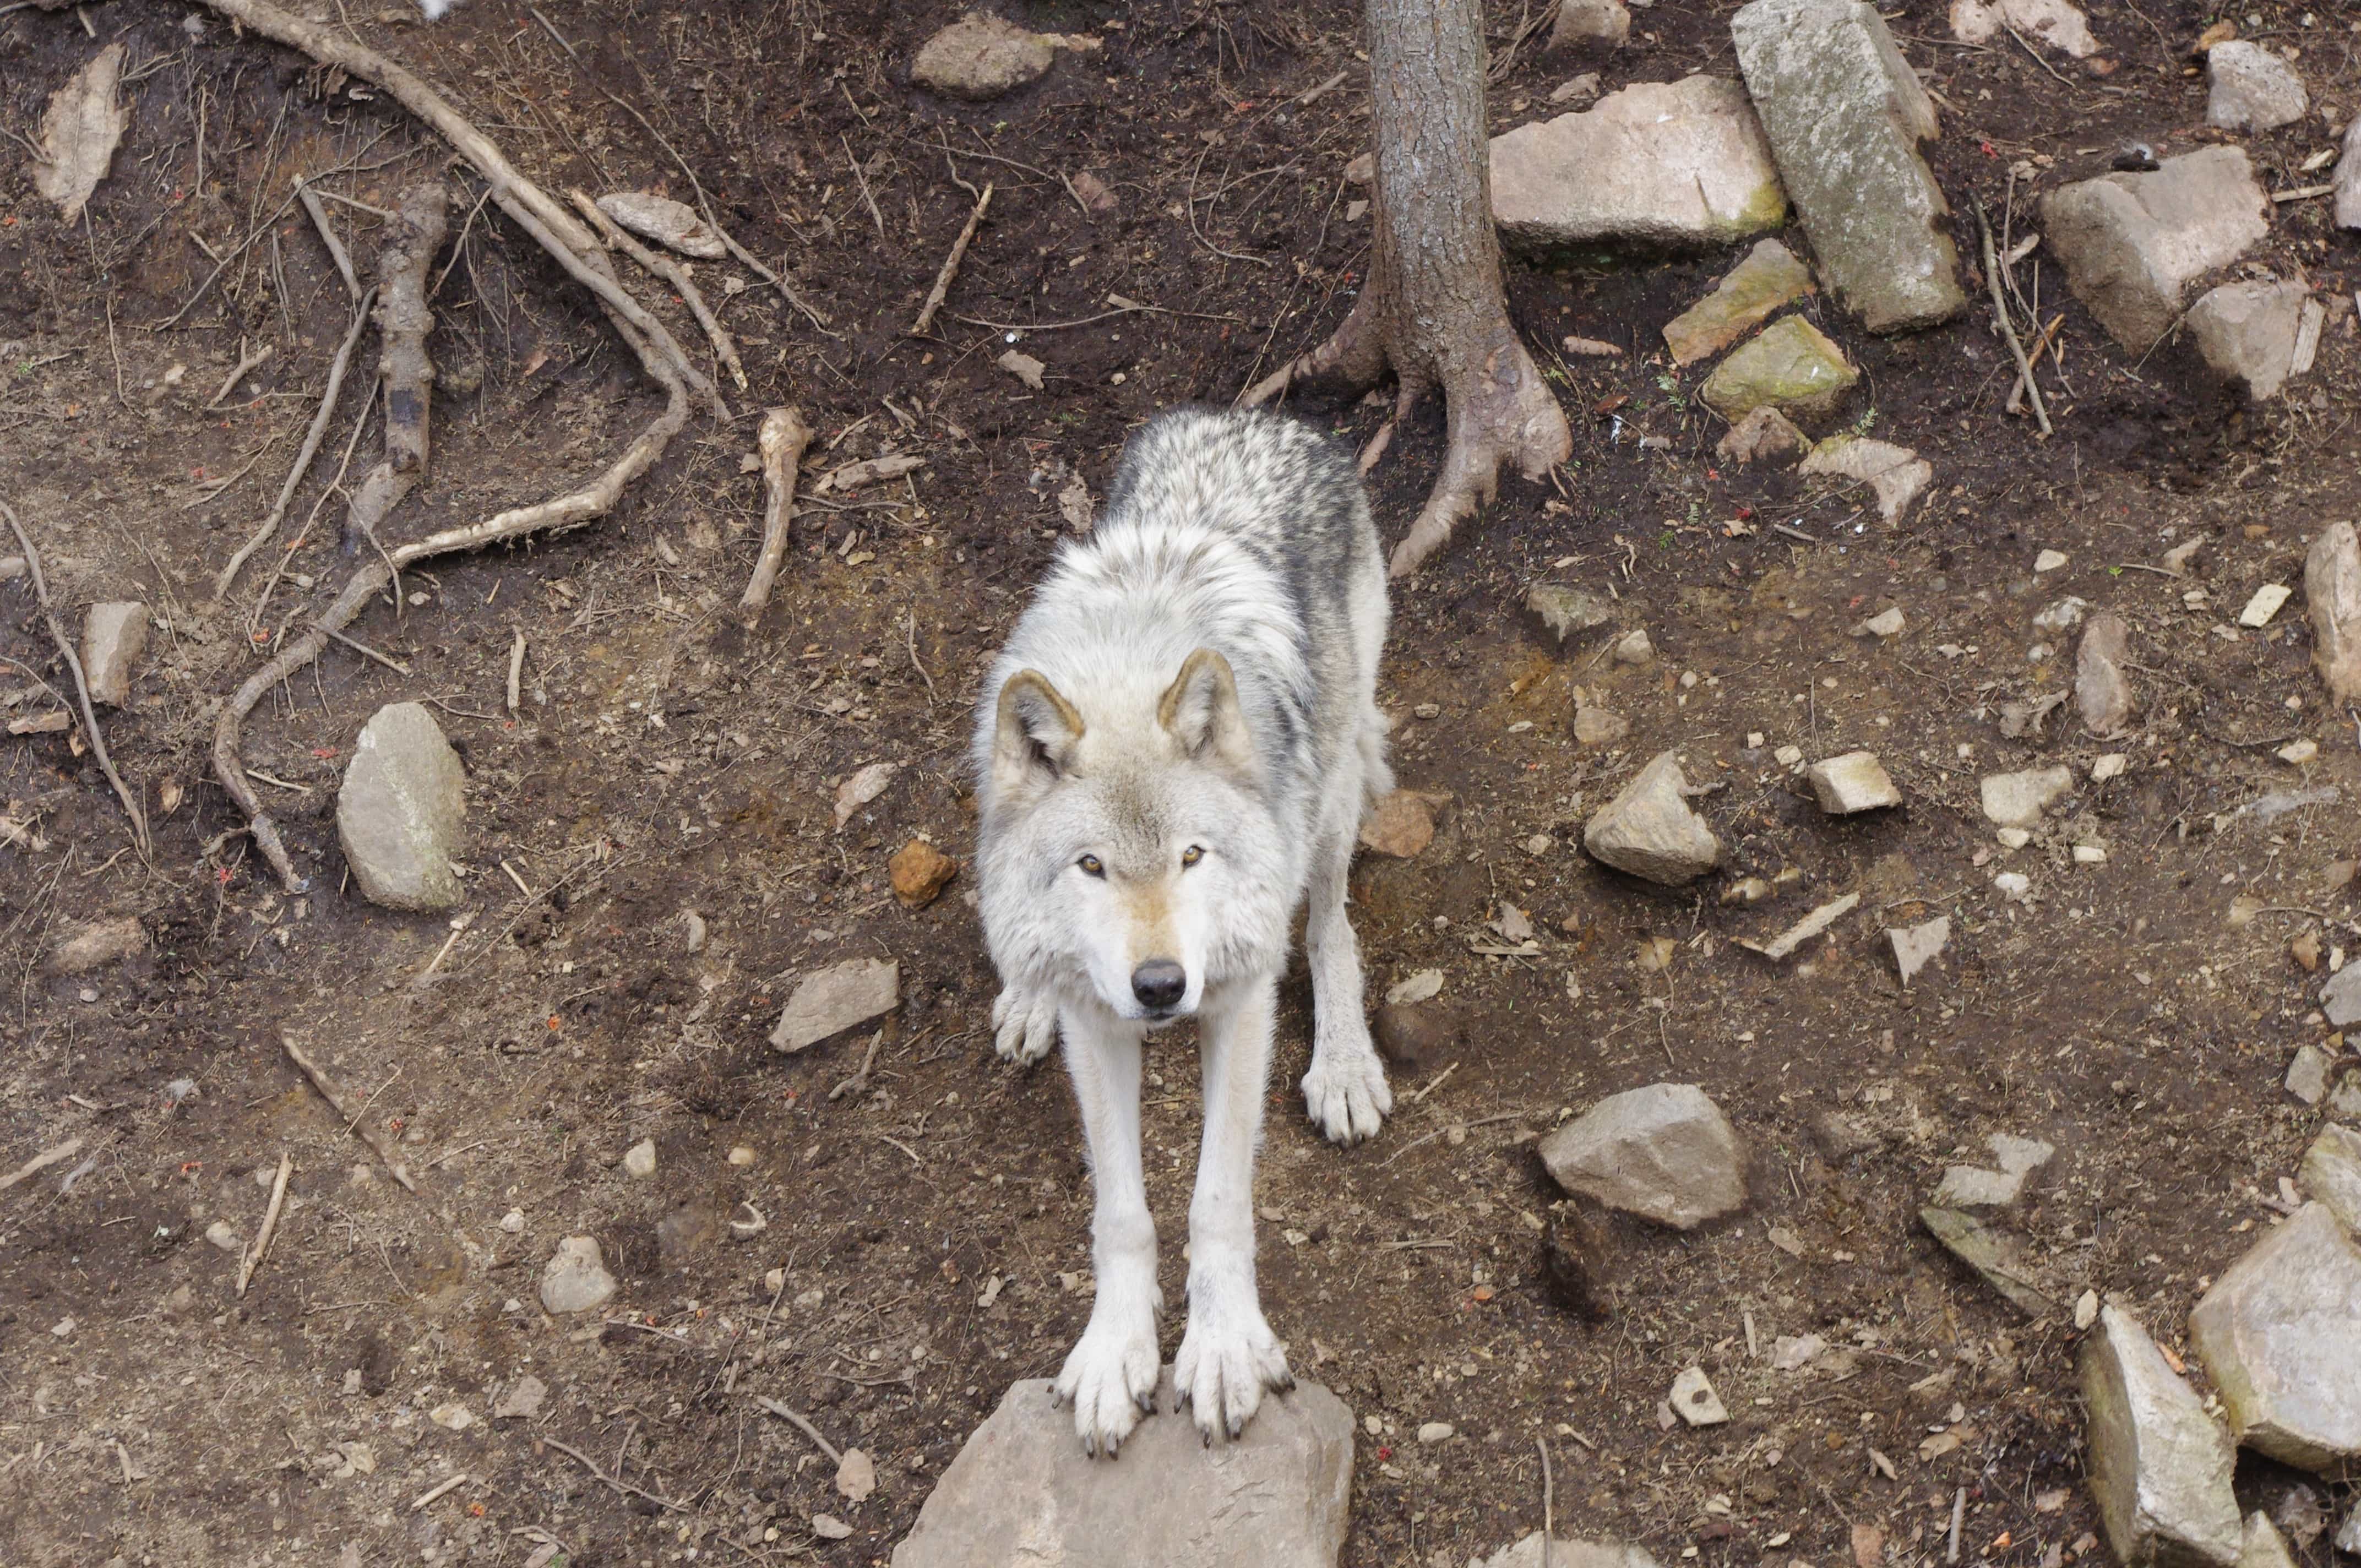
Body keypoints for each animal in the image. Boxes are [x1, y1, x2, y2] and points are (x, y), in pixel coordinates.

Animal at [968, 406, 1388, 1455]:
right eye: (1093, 868)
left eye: (1193, 856)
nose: (1160, 987)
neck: (1127, 667)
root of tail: (1257, 417)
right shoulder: (1096, 1024)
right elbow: (1121, 1209)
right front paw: (1115, 1353)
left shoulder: (1237, 1000)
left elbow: (1215, 1198)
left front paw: (1223, 1349)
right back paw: (1022, 995)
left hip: (1331, 789)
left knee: (1329, 927)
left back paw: (1345, 1065)